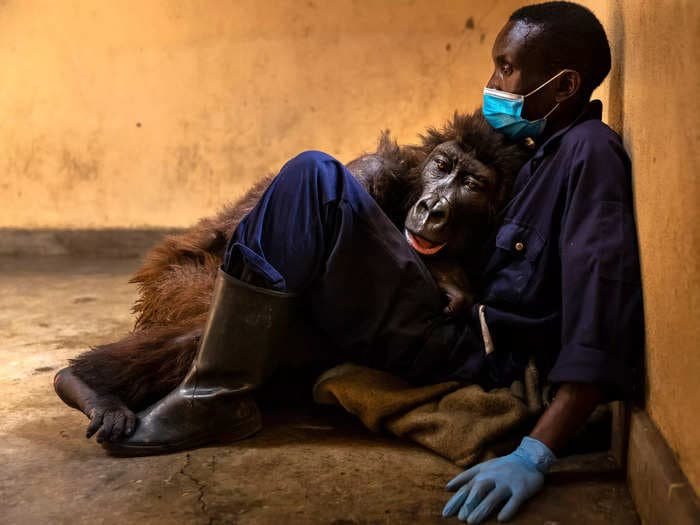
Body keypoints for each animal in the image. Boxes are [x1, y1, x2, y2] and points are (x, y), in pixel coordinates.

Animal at [53, 109, 532, 442]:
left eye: (471, 184)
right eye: (442, 166)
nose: (433, 207)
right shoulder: (372, 171)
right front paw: (446, 273)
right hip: (173, 285)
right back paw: (87, 385)